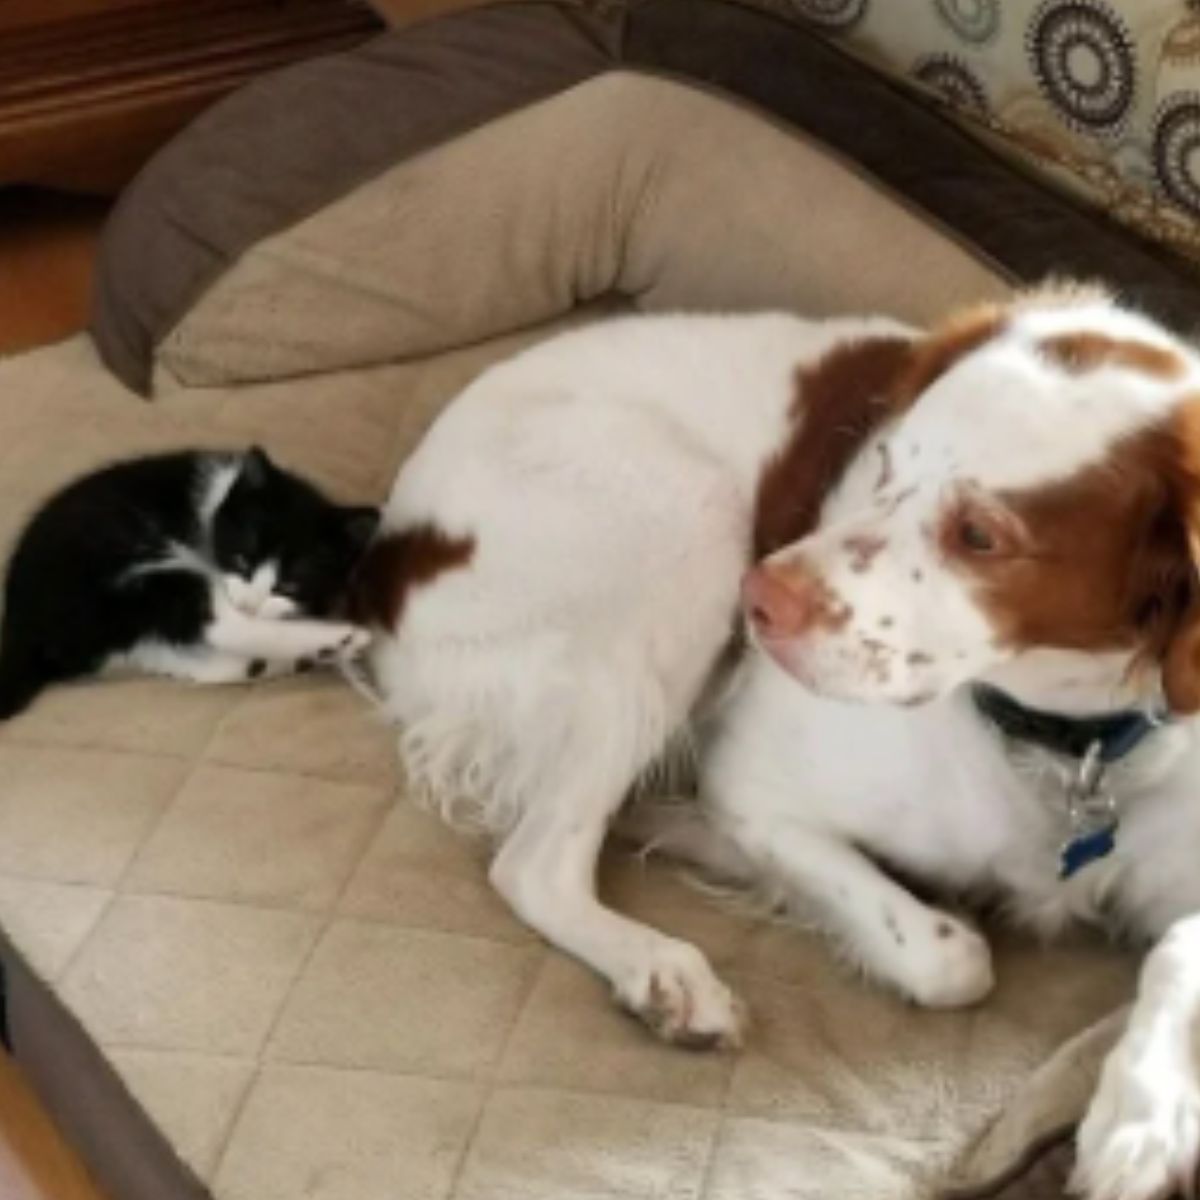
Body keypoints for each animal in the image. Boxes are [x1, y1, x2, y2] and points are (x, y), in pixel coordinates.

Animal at [0, 446, 376, 715]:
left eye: (289, 585)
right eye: (241, 560)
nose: (248, 605)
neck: (217, 505)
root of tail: (23, 629)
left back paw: (303, 657)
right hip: (126, 568)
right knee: (217, 625)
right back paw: (342, 639)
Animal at [350, 290, 1200, 1200]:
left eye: (981, 536)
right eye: (884, 461)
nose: (761, 598)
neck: (1073, 744)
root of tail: (392, 546)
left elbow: (1176, 947)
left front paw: (1140, 1122)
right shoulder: (755, 778)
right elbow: (953, 962)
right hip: (688, 526)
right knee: (535, 864)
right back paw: (666, 963)